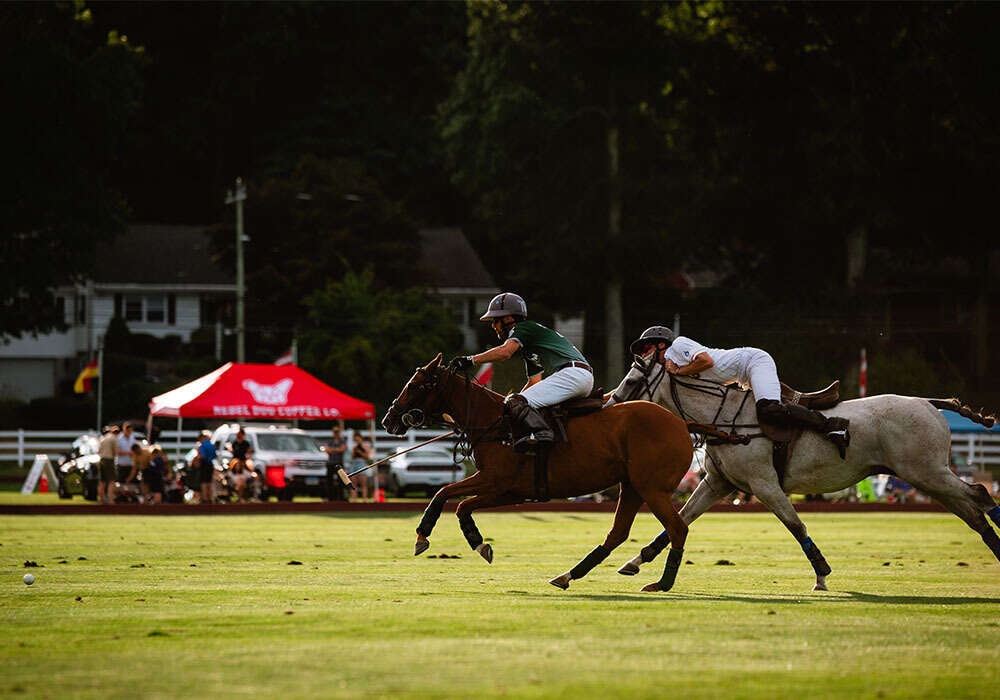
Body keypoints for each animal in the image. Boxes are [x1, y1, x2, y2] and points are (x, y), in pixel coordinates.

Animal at [382, 356, 696, 592]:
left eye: (414, 385)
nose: (388, 420)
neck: (494, 424)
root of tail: (682, 424)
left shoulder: (495, 479)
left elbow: (443, 493)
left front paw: (422, 537)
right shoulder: (510, 491)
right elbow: (462, 506)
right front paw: (479, 544)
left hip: (652, 488)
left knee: (677, 528)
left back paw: (661, 584)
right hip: (631, 485)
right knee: (618, 532)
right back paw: (567, 576)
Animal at [604, 356, 1000, 592]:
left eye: (633, 379)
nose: (610, 405)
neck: (727, 418)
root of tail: (929, 403)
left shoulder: (764, 483)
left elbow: (796, 526)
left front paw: (821, 575)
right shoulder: (719, 483)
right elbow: (678, 521)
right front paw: (634, 563)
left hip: (926, 472)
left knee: (980, 495)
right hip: (927, 476)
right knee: (974, 512)